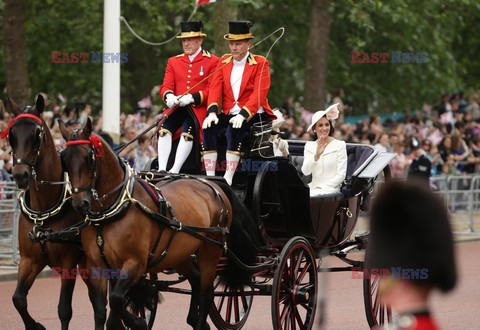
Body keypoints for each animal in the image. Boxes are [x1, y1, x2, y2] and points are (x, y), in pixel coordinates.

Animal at [6, 94, 86, 328]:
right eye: (12, 134)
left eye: (37, 134)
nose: (20, 175)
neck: (44, 210)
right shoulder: (29, 260)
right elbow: (18, 299)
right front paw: (35, 325)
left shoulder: (69, 264)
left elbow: (64, 310)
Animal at [59, 117, 262, 328]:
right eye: (63, 159)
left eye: (89, 158)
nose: (80, 204)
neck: (112, 211)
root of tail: (214, 184)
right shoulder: (97, 267)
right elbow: (104, 308)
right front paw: (135, 318)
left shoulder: (135, 263)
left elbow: (116, 299)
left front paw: (137, 321)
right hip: (180, 254)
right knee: (196, 281)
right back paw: (194, 319)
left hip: (210, 252)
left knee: (207, 295)